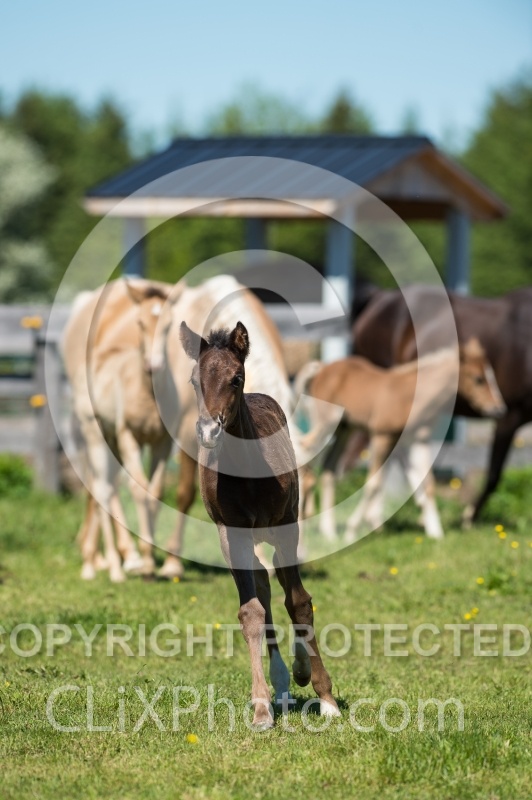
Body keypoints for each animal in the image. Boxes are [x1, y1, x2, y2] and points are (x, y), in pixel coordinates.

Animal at [62, 278, 181, 582]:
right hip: (95, 435)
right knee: (102, 488)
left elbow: (156, 492)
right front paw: (145, 561)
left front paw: (150, 560)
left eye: (169, 324)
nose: (154, 365)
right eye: (139, 322)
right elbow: (138, 489)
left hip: (111, 441)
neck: (147, 396)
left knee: (107, 486)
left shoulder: (162, 442)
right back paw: (108, 567)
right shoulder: (129, 437)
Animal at [180, 320, 340, 729]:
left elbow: (299, 601)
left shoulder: (287, 526)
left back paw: (300, 671)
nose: (208, 431)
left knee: (286, 586)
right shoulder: (230, 533)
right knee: (266, 587)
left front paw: (326, 697)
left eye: (236, 378)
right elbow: (251, 610)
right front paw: (262, 708)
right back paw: (282, 682)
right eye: (194, 380)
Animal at [297, 339, 505, 541]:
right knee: (305, 451)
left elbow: (427, 484)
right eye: (478, 379)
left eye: (491, 375)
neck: (412, 396)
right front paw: (351, 530)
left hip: (344, 429)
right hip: (326, 424)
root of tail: (323, 367)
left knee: (329, 470)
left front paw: (436, 533)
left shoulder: (417, 441)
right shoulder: (382, 436)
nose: (499, 408)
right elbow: (373, 484)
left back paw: (329, 532)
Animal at [353, 284, 532, 524]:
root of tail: (379, 298)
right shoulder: (509, 418)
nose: (497, 408)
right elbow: (493, 475)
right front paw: (468, 518)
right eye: (479, 379)